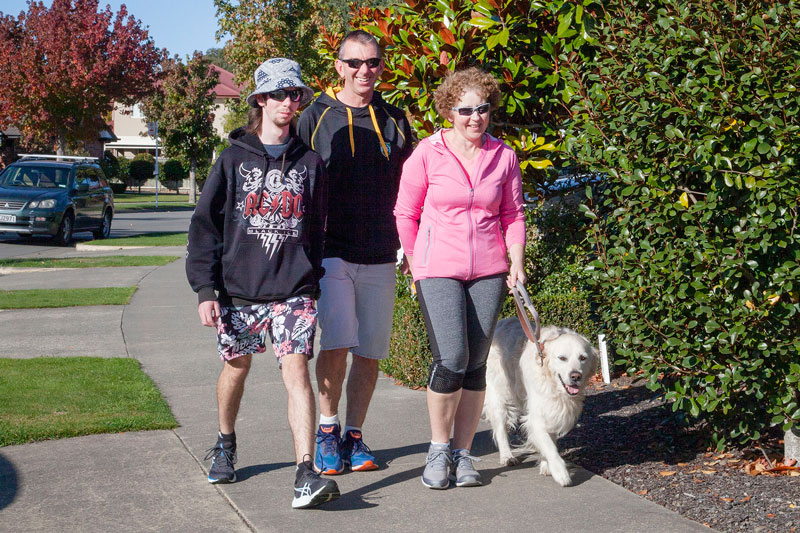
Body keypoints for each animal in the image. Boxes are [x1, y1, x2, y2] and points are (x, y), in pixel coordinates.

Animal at [482, 318, 600, 484]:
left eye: (583, 358)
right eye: (562, 358)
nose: (575, 376)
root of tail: (501, 322)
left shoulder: (553, 411)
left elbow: (550, 441)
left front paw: (546, 466)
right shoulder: (537, 417)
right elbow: (549, 447)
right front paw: (560, 472)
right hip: (498, 396)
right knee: (500, 429)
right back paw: (507, 456)